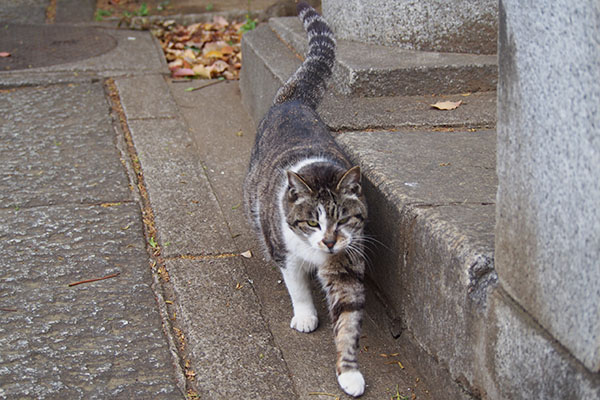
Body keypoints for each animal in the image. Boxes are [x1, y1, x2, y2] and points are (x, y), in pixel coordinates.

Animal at [243, 0, 366, 396]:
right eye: (312, 220)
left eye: (342, 219)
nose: (328, 242)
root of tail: (293, 101)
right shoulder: (285, 249)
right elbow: (296, 285)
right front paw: (306, 316)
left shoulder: (348, 260)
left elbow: (348, 320)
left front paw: (349, 373)